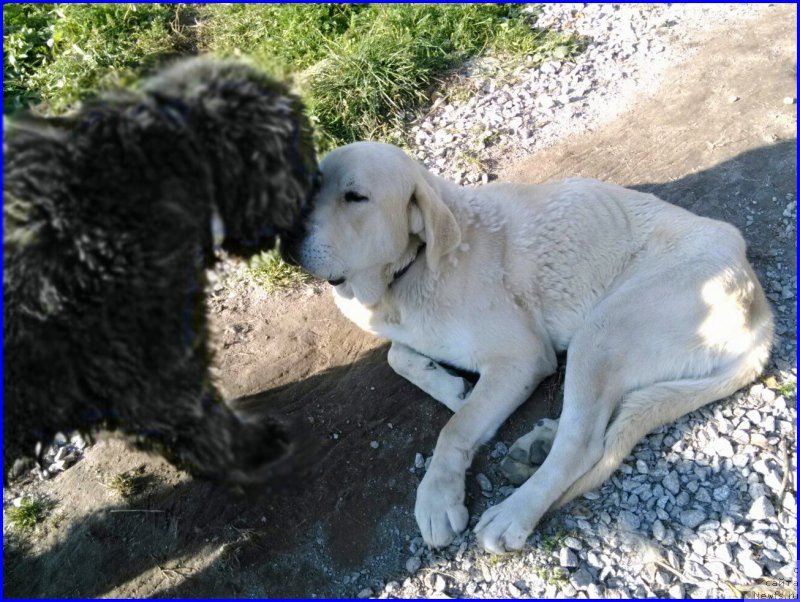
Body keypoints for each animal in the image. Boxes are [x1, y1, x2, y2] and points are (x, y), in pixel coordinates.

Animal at [290, 142, 772, 552]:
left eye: (355, 196)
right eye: (312, 185)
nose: (286, 235)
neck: (410, 271)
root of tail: (760, 310)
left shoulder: (521, 358)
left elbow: (455, 429)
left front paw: (437, 497)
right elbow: (397, 356)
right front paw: (450, 387)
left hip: (601, 330)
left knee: (584, 443)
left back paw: (513, 513)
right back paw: (537, 443)